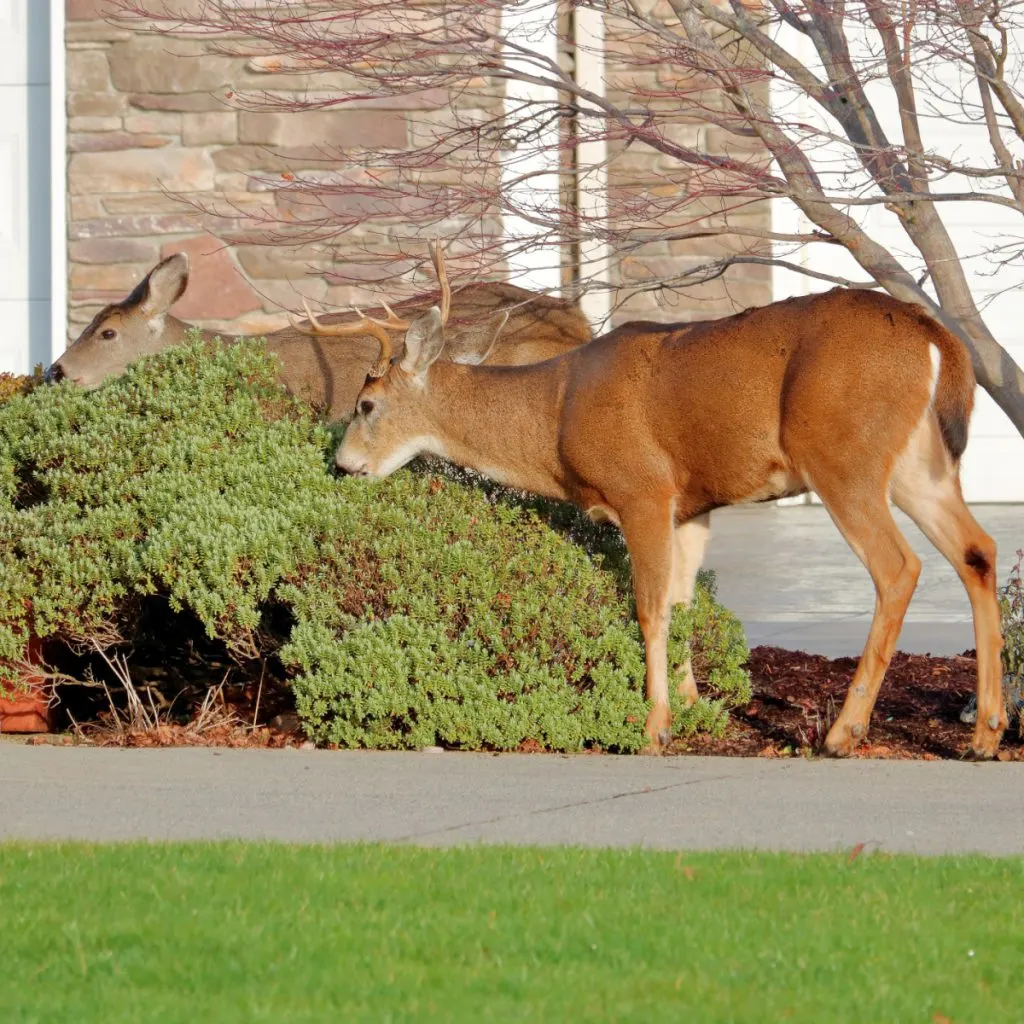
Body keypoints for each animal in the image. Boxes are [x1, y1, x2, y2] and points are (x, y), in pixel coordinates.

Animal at [337, 260, 1007, 757]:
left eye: (366, 404)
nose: (342, 463)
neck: (554, 414)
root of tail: (933, 335)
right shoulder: (691, 506)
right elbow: (684, 603)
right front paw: (692, 708)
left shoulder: (643, 489)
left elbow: (651, 608)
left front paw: (652, 726)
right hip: (920, 465)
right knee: (978, 550)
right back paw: (985, 733)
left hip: (845, 457)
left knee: (899, 568)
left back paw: (845, 732)